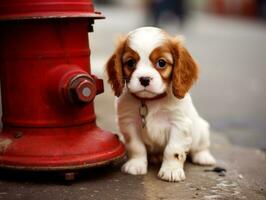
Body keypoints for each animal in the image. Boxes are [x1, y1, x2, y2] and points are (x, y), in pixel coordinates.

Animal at [105, 26, 215, 181]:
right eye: (131, 63)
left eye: (161, 63)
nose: (144, 79)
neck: (150, 101)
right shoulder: (129, 123)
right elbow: (136, 146)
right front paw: (135, 165)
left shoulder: (179, 124)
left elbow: (173, 149)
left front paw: (171, 170)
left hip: (202, 130)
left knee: (201, 147)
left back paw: (204, 157)